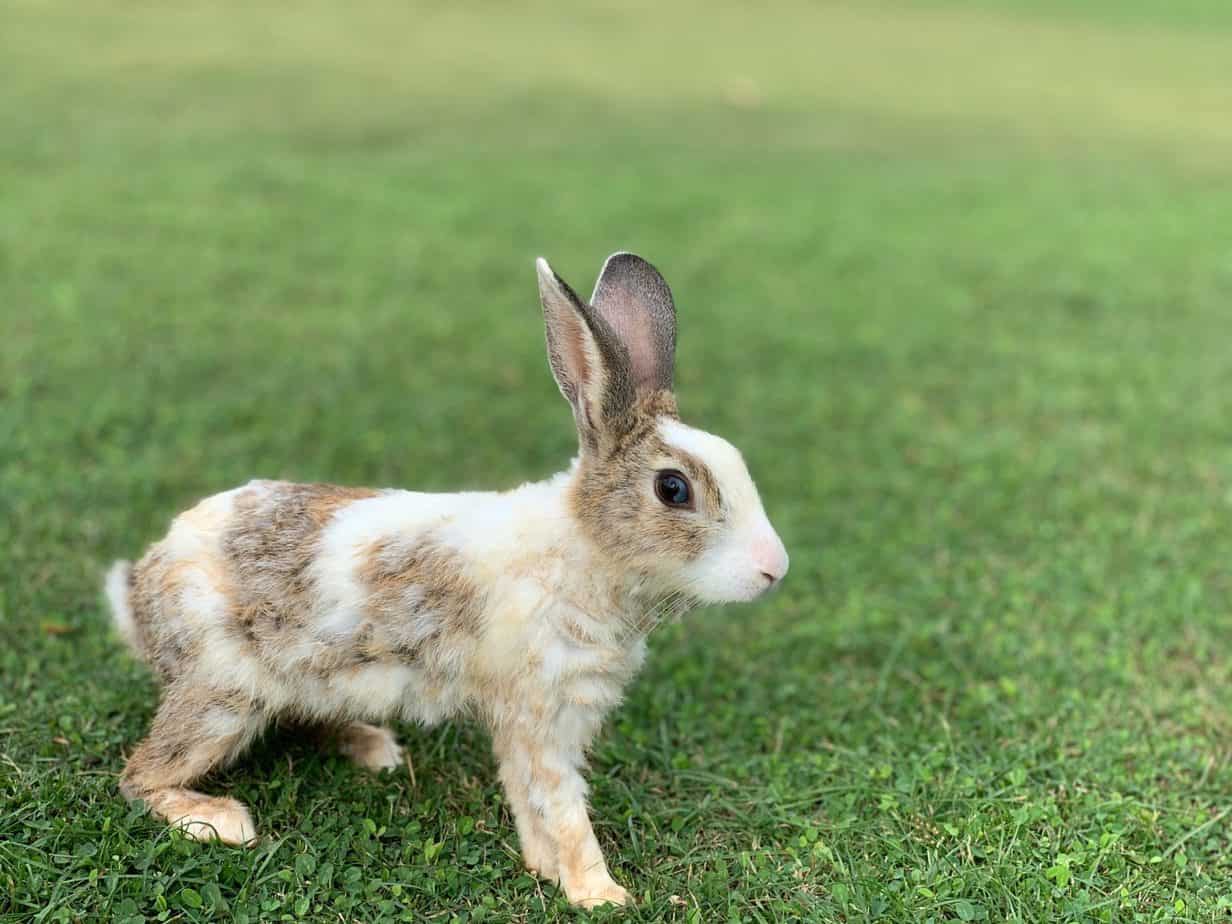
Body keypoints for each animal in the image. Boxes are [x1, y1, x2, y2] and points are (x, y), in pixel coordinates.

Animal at [101, 255, 783, 911]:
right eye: (673, 489)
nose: (775, 569)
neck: (584, 548)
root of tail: (140, 595)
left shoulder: (528, 719)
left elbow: (526, 796)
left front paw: (544, 868)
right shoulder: (541, 712)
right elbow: (563, 808)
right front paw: (601, 894)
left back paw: (375, 748)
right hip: (221, 698)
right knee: (140, 777)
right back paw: (221, 821)